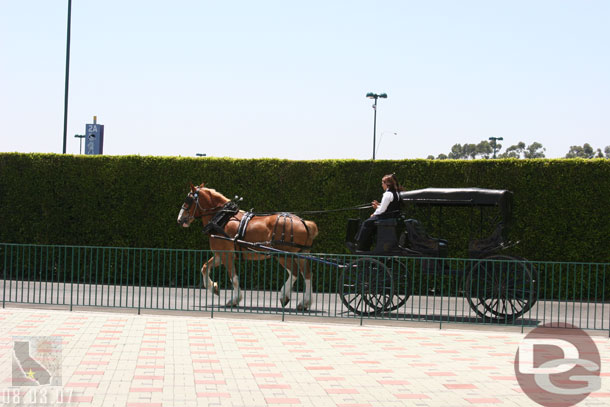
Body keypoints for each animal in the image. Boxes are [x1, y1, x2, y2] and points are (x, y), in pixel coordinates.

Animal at [176, 183, 318, 310]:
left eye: (188, 200)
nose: (180, 219)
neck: (222, 219)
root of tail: (304, 222)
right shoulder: (219, 255)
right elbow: (205, 267)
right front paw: (214, 288)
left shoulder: (227, 255)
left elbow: (233, 278)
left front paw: (234, 299)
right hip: (301, 255)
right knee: (307, 274)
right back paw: (305, 303)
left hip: (282, 255)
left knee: (294, 273)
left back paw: (285, 296)